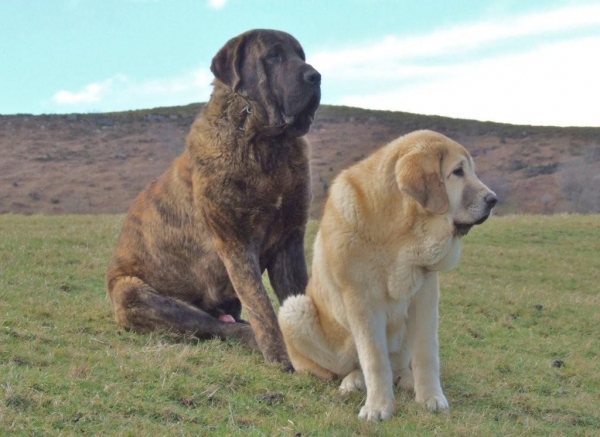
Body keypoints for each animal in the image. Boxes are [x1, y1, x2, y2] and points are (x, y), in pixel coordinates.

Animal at [108, 29, 324, 366]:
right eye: (274, 56)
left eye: (300, 55)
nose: (315, 76)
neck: (265, 143)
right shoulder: (235, 241)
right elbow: (261, 305)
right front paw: (281, 355)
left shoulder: (289, 239)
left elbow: (298, 297)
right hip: (133, 292)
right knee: (217, 327)